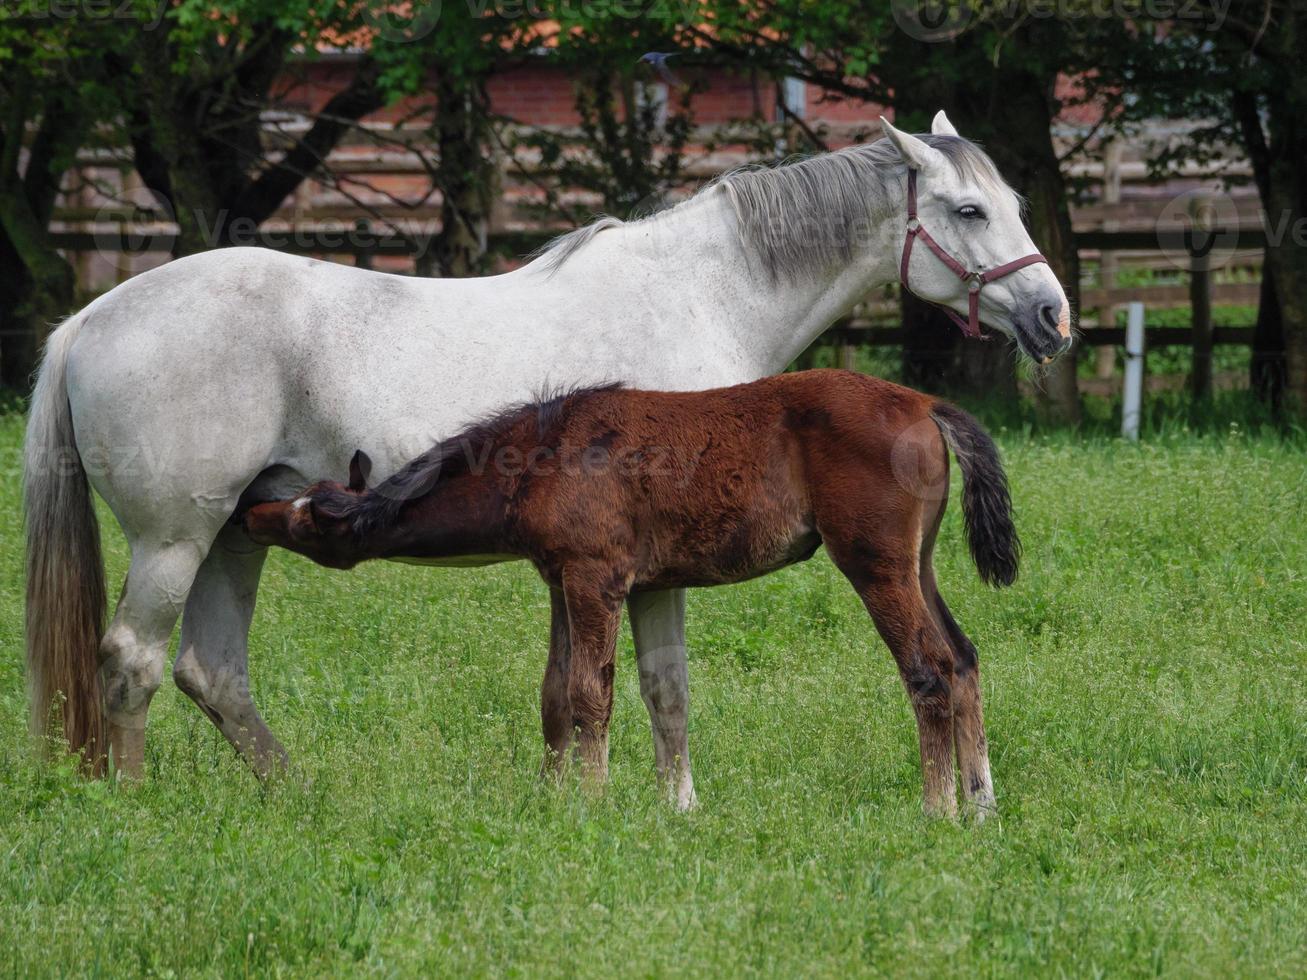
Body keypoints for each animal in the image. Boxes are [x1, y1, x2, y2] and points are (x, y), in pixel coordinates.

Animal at [245, 371, 1019, 820]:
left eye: (311, 518)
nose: (252, 512)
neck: (539, 456)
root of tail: (925, 403)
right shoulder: (564, 581)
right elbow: (555, 694)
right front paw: (553, 802)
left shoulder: (597, 578)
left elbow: (591, 692)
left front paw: (591, 806)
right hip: (917, 562)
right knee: (962, 658)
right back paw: (982, 805)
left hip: (874, 563)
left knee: (927, 669)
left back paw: (939, 811)